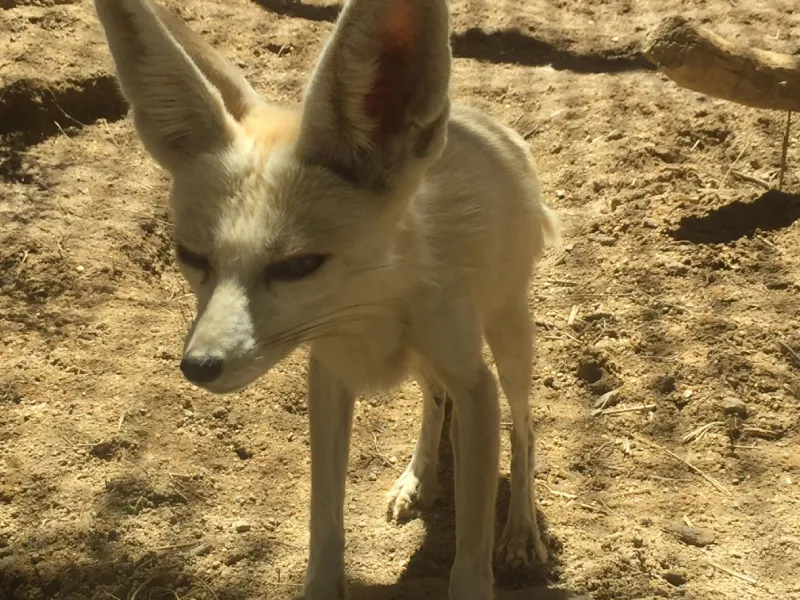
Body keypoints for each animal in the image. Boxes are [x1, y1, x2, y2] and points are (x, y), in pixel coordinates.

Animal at [95, 0, 556, 596]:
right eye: (191, 256)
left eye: (297, 266)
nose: (198, 366)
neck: (371, 312)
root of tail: (485, 123)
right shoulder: (330, 375)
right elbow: (325, 516)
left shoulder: (476, 386)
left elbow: (471, 555)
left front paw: (489, 552)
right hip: (437, 361)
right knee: (433, 401)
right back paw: (417, 478)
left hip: (507, 340)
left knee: (525, 431)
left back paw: (521, 531)